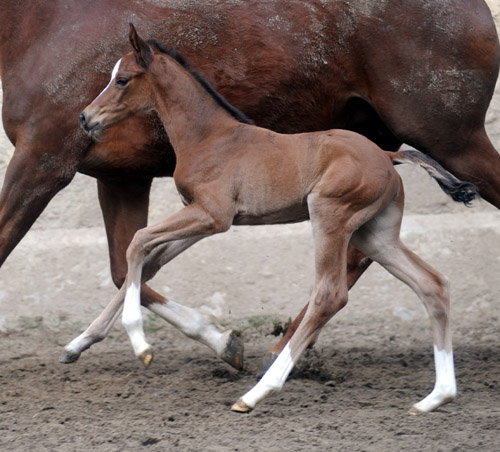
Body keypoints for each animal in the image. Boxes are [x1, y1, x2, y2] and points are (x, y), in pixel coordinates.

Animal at [80, 23, 478, 414]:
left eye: (122, 80)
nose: (85, 118)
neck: (210, 138)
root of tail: (387, 154)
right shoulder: (200, 218)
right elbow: (149, 260)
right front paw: (79, 343)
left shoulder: (212, 215)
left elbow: (138, 242)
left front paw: (141, 345)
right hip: (374, 234)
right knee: (431, 284)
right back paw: (436, 397)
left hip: (330, 215)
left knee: (330, 295)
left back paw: (257, 393)